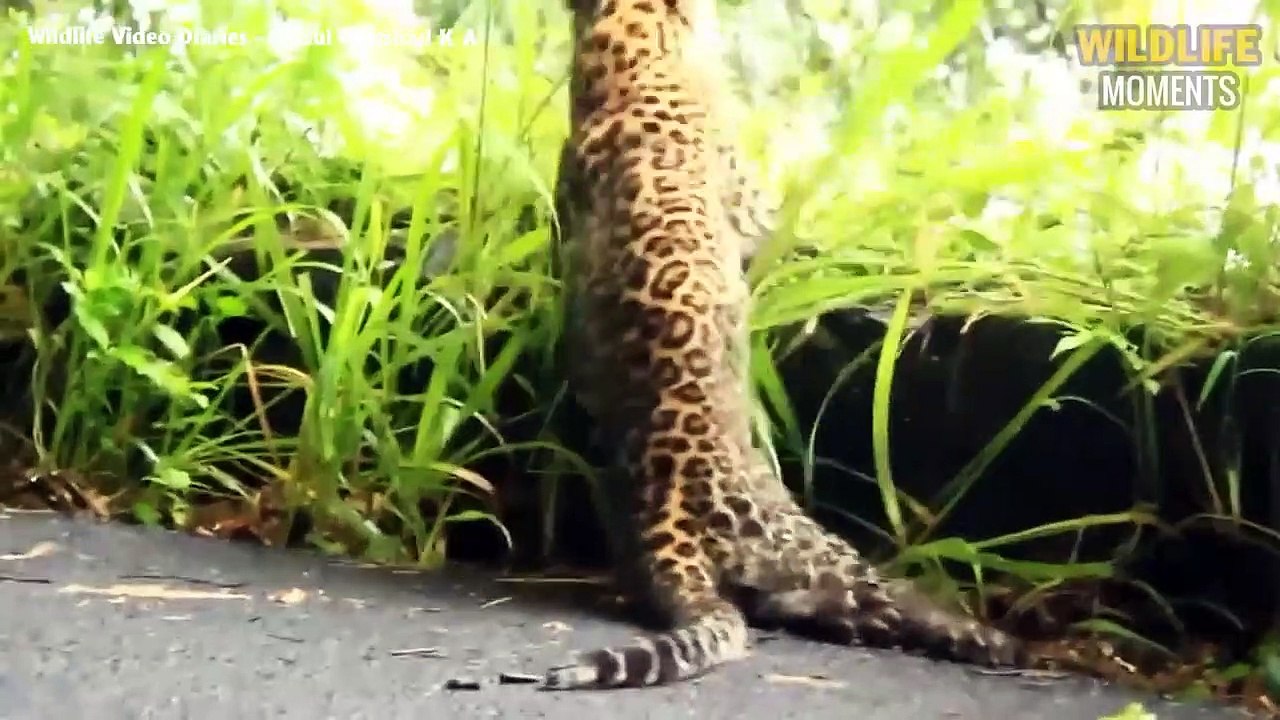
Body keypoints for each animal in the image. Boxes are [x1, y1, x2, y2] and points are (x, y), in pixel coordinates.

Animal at [544, 0, 1026, 690]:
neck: (639, 44)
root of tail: (671, 510)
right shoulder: (751, 211)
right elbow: (789, 233)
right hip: (821, 549)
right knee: (892, 599)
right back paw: (994, 641)